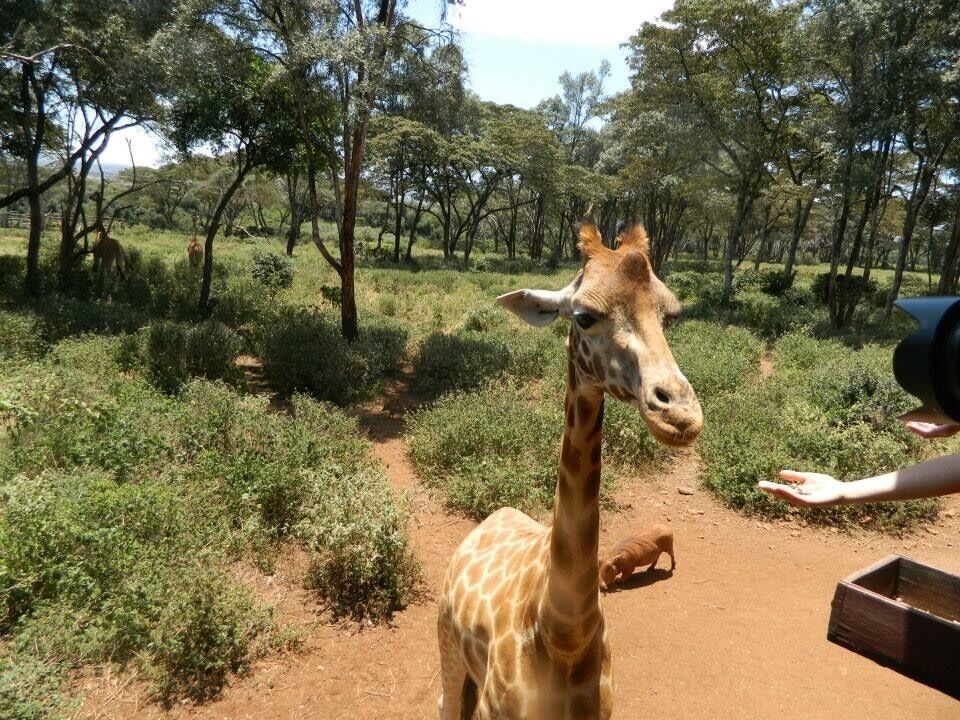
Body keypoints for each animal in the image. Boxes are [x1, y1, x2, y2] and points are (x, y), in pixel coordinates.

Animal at [436, 222, 703, 719]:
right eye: (582, 317)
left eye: (670, 315)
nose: (680, 416)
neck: (562, 634)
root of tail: (494, 515)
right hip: (445, 638)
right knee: (445, 700)